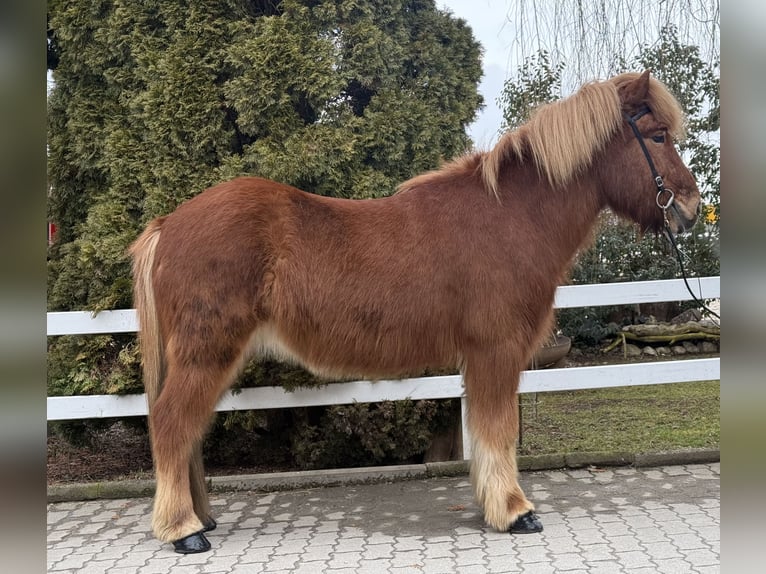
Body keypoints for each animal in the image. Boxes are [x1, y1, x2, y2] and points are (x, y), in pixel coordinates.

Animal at [130, 70, 700, 553]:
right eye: (656, 136)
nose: (692, 208)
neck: (510, 217)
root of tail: (169, 224)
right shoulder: (497, 352)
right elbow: (497, 433)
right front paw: (514, 511)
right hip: (208, 350)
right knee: (172, 424)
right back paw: (183, 530)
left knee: (187, 433)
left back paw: (200, 519)